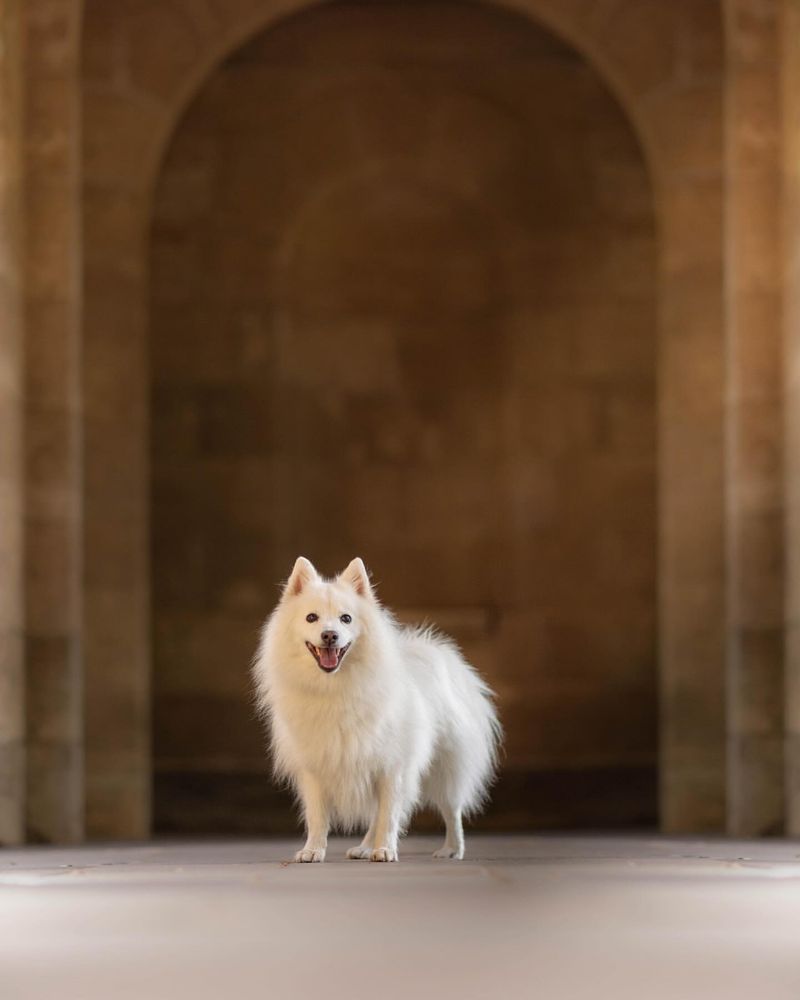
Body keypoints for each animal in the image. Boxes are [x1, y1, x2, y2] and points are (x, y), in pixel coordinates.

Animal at [252, 556, 500, 860]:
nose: (330, 635)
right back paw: (364, 847)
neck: (335, 688)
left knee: (451, 809)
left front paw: (385, 849)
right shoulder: (317, 768)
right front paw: (313, 851)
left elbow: (389, 815)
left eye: (346, 618)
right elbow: (318, 816)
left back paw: (451, 849)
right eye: (311, 617)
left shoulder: (392, 766)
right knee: (376, 814)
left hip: (447, 766)